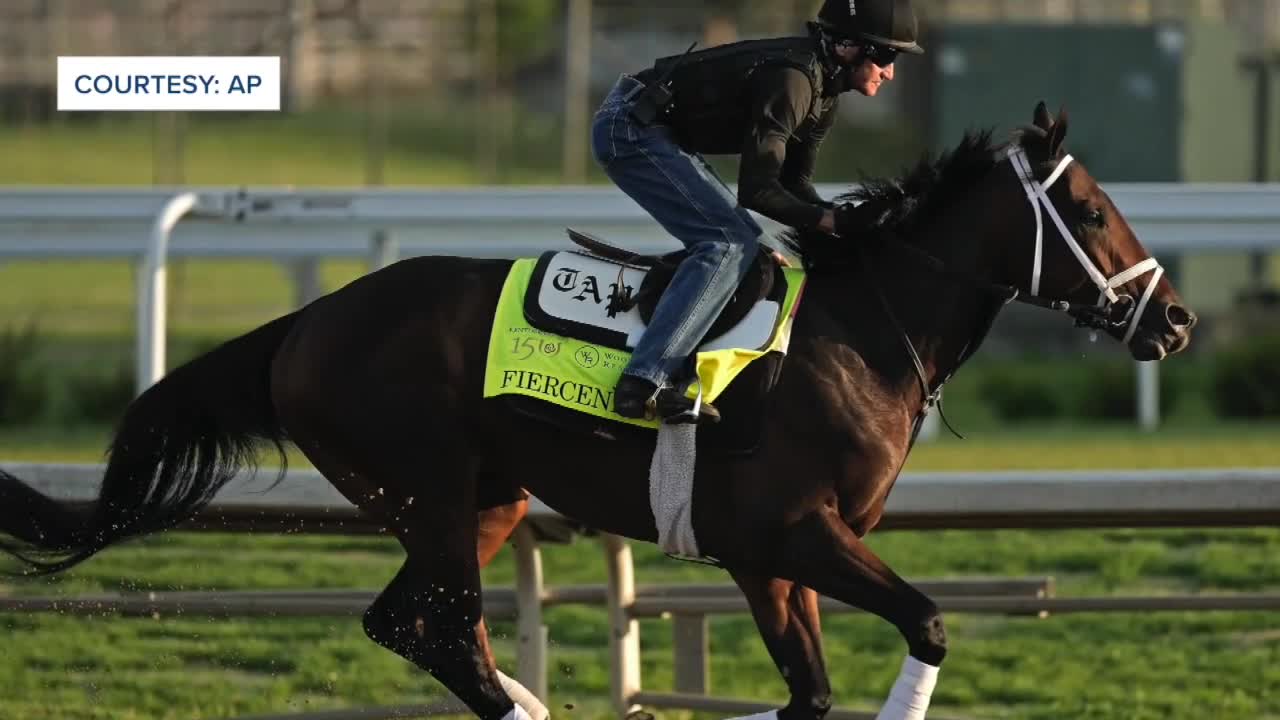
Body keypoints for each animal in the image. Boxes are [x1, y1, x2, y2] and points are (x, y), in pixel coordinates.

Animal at [5, 102, 1192, 717]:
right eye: (1091, 209)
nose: (1174, 321)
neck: (859, 334)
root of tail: (306, 322)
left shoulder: (767, 557)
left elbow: (809, 693)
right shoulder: (792, 533)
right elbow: (928, 621)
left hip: (480, 500)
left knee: (415, 624)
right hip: (429, 490)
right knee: (443, 628)